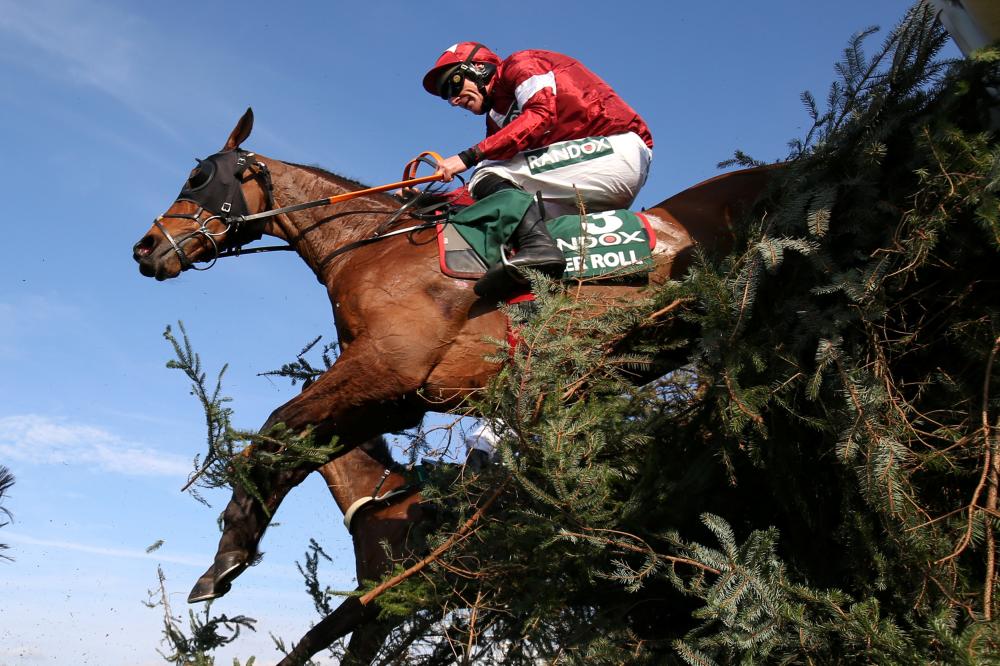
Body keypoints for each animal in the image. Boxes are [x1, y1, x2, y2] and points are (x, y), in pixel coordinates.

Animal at [131, 106, 772, 608]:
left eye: (197, 177)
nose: (145, 247)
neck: (369, 246)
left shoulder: (385, 366)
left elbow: (272, 431)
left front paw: (229, 554)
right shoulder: (394, 397)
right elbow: (292, 452)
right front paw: (226, 560)